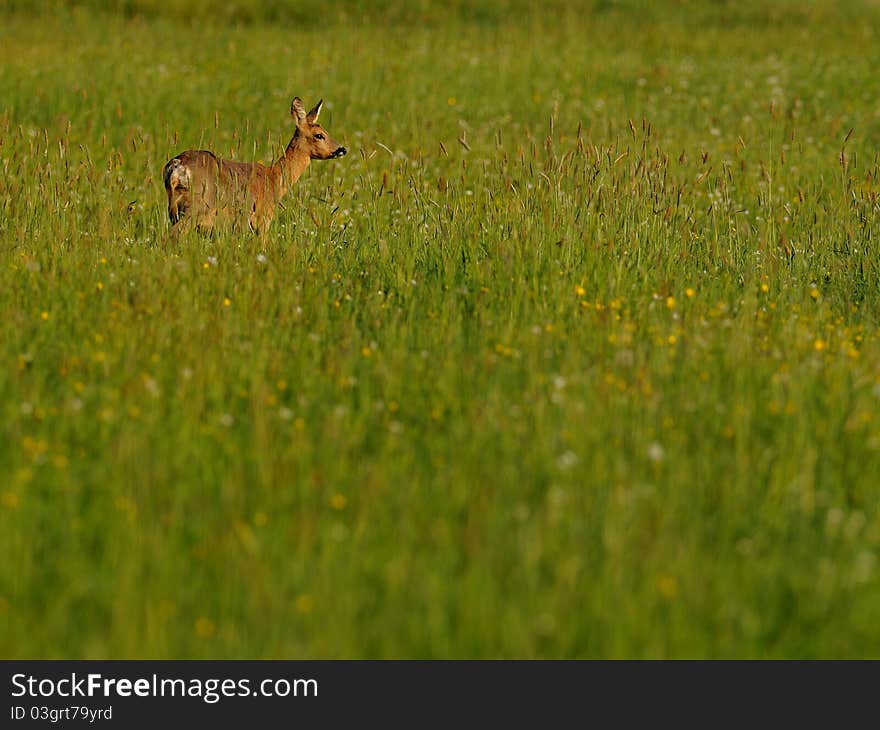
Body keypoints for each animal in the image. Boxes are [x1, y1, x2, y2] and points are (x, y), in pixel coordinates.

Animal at [163, 95, 346, 235]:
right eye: (319, 135)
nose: (342, 149)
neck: (274, 178)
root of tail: (178, 165)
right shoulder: (262, 219)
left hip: (174, 209)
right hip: (196, 206)